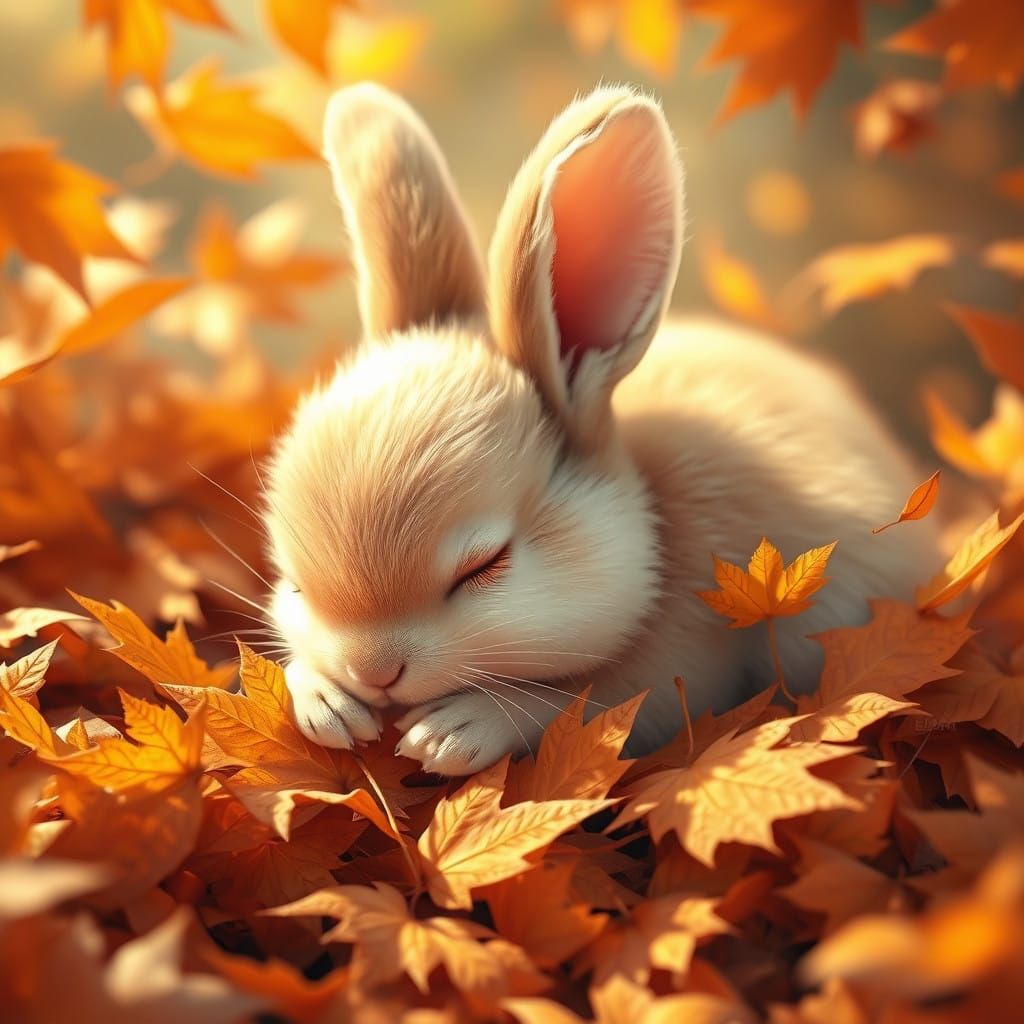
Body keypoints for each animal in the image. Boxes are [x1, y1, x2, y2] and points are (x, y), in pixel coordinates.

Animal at [262, 82, 941, 776]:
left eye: (485, 565)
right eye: (291, 579)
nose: (373, 672)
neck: (657, 530)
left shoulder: (682, 659)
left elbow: (583, 700)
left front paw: (450, 733)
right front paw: (326, 707)